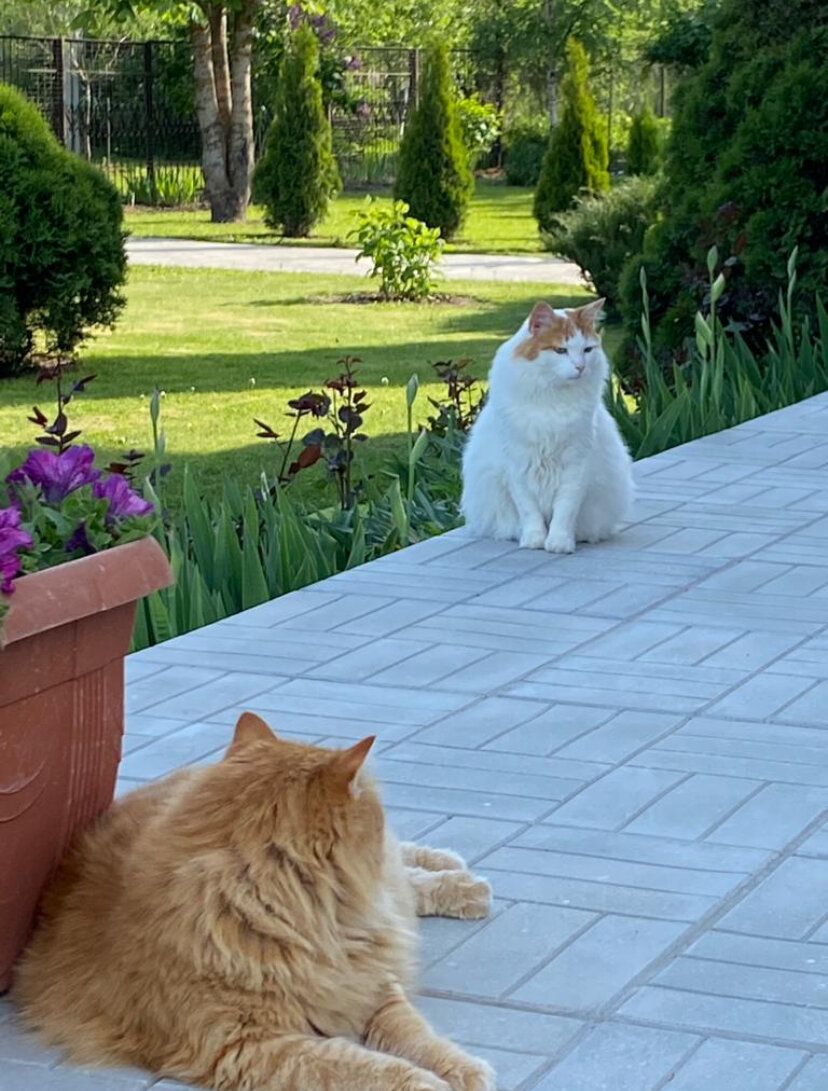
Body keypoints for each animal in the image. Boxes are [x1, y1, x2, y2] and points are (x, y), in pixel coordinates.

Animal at [16, 711, 495, 1091]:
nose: (382, 824)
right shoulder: (244, 1045)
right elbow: (358, 1064)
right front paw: (426, 1083)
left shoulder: (370, 984)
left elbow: (416, 1035)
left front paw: (463, 1069)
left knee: (406, 872)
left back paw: (462, 879)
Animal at [460, 298, 632, 554]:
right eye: (561, 350)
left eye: (587, 350)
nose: (580, 367)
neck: (553, 400)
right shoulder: (517, 464)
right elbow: (529, 511)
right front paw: (534, 540)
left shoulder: (576, 464)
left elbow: (565, 510)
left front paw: (560, 543)